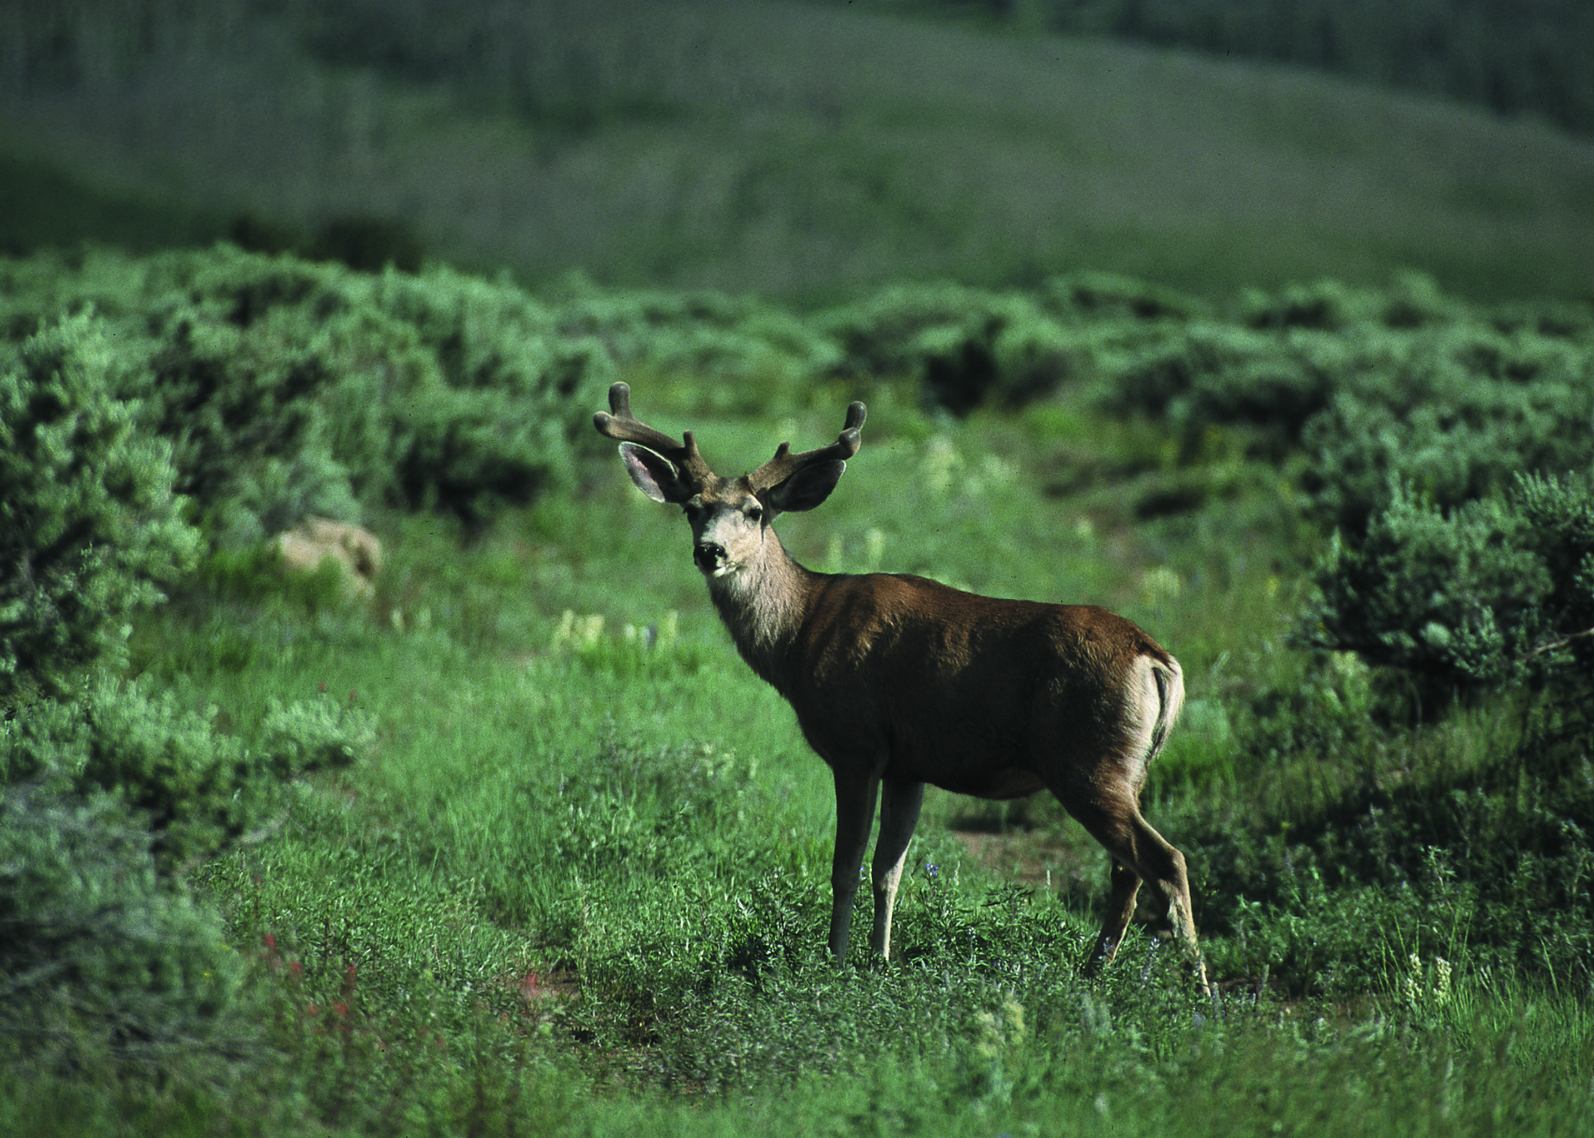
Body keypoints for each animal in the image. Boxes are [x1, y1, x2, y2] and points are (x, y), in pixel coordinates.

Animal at [594, 382, 1208, 991]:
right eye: (692, 508)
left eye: (755, 511)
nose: (710, 552)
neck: (802, 631)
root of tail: (1156, 660)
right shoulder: (910, 765)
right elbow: (889, 868)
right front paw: (880, 960)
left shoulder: (857, 745)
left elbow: (845, 865)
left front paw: (836, 960)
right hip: (1128, 769)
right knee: (1128, 871)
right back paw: (1094, 974)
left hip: (1086, 760)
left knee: (1165, 861)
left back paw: (1196, 990)